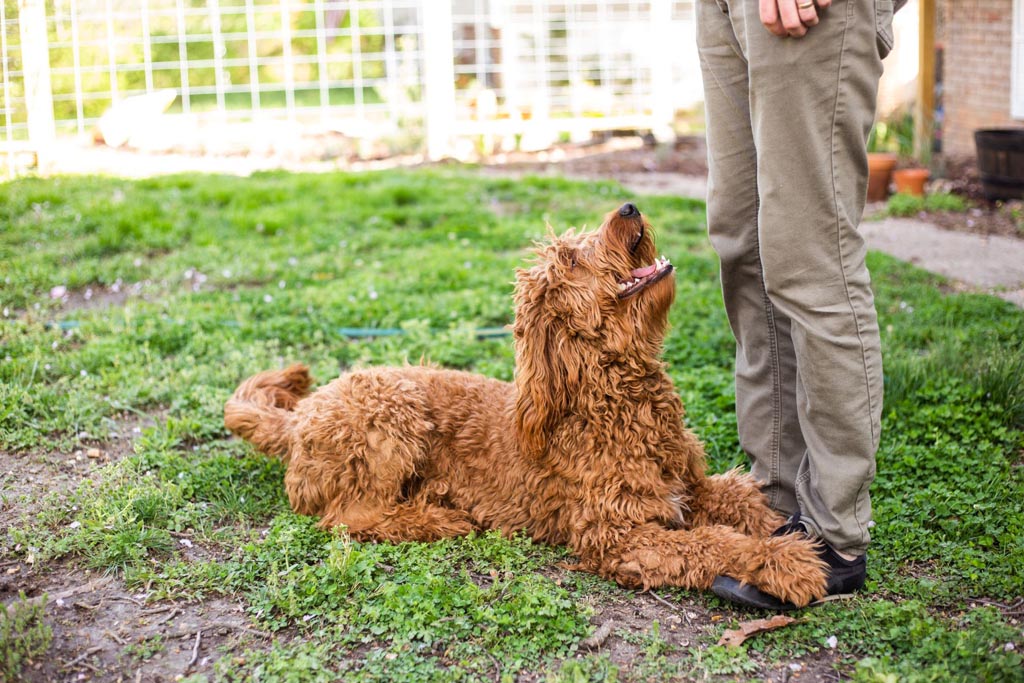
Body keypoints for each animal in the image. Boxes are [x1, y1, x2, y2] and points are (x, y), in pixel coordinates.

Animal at [226, 201, 831, 602]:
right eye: (572, 261)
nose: (629, 207)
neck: (613, 396)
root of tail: (300, 417)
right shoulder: (617, 535)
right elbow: (709, 544)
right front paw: (783, 562)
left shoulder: (689, 485)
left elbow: (742, 501)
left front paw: (793, 532)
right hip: (391, 416)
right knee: (349, 517)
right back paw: (437, 519)